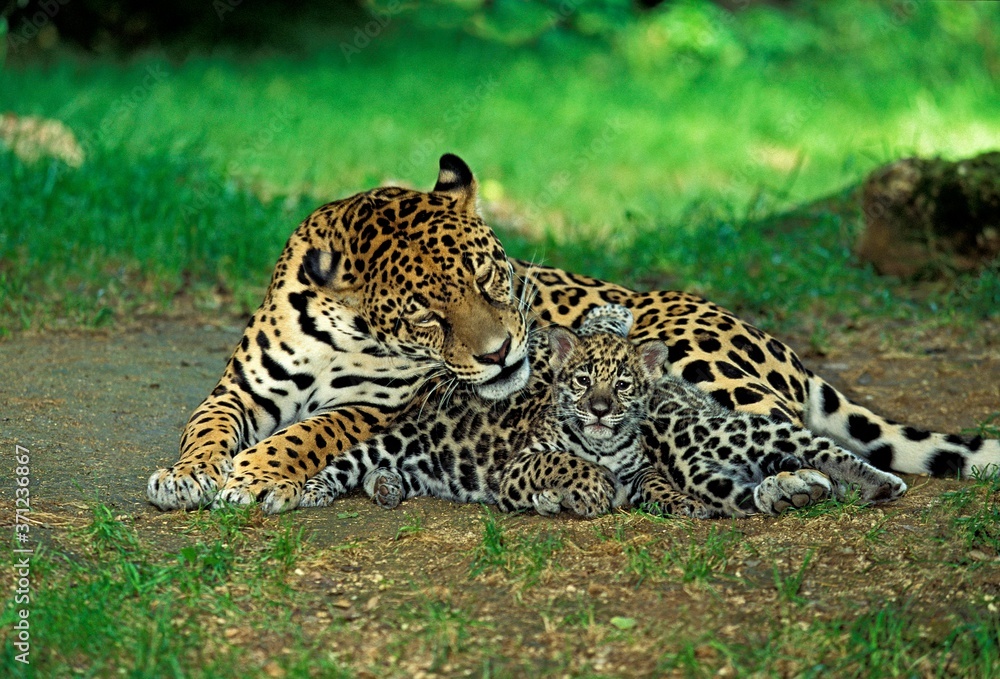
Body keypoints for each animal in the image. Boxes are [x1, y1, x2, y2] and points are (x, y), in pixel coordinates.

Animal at [300, 305, 704, 518]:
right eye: (583, 380)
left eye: (622, 385)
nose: (600, 410)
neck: (601, 445)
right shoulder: (517, 466)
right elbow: (561, 460)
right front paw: (591, 485)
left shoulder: (637, 469)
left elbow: (655, 481)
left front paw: (684, 502)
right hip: (388, 442)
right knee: (346, 464)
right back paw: (315, 492)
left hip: (430, 472)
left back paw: (387, 484)